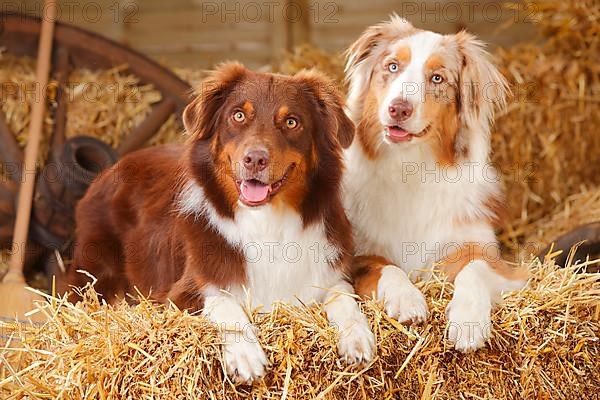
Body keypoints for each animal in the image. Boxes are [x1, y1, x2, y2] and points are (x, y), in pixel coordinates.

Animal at [59, 63, 370, 384]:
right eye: (238, 115)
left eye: (292, 122)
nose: (255, 159)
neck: (267, 223)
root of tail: (111, 168)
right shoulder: (180, 293)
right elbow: (223, 302)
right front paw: (245, 354)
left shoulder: (329, 272)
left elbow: (343, 295)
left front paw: (357, 335)